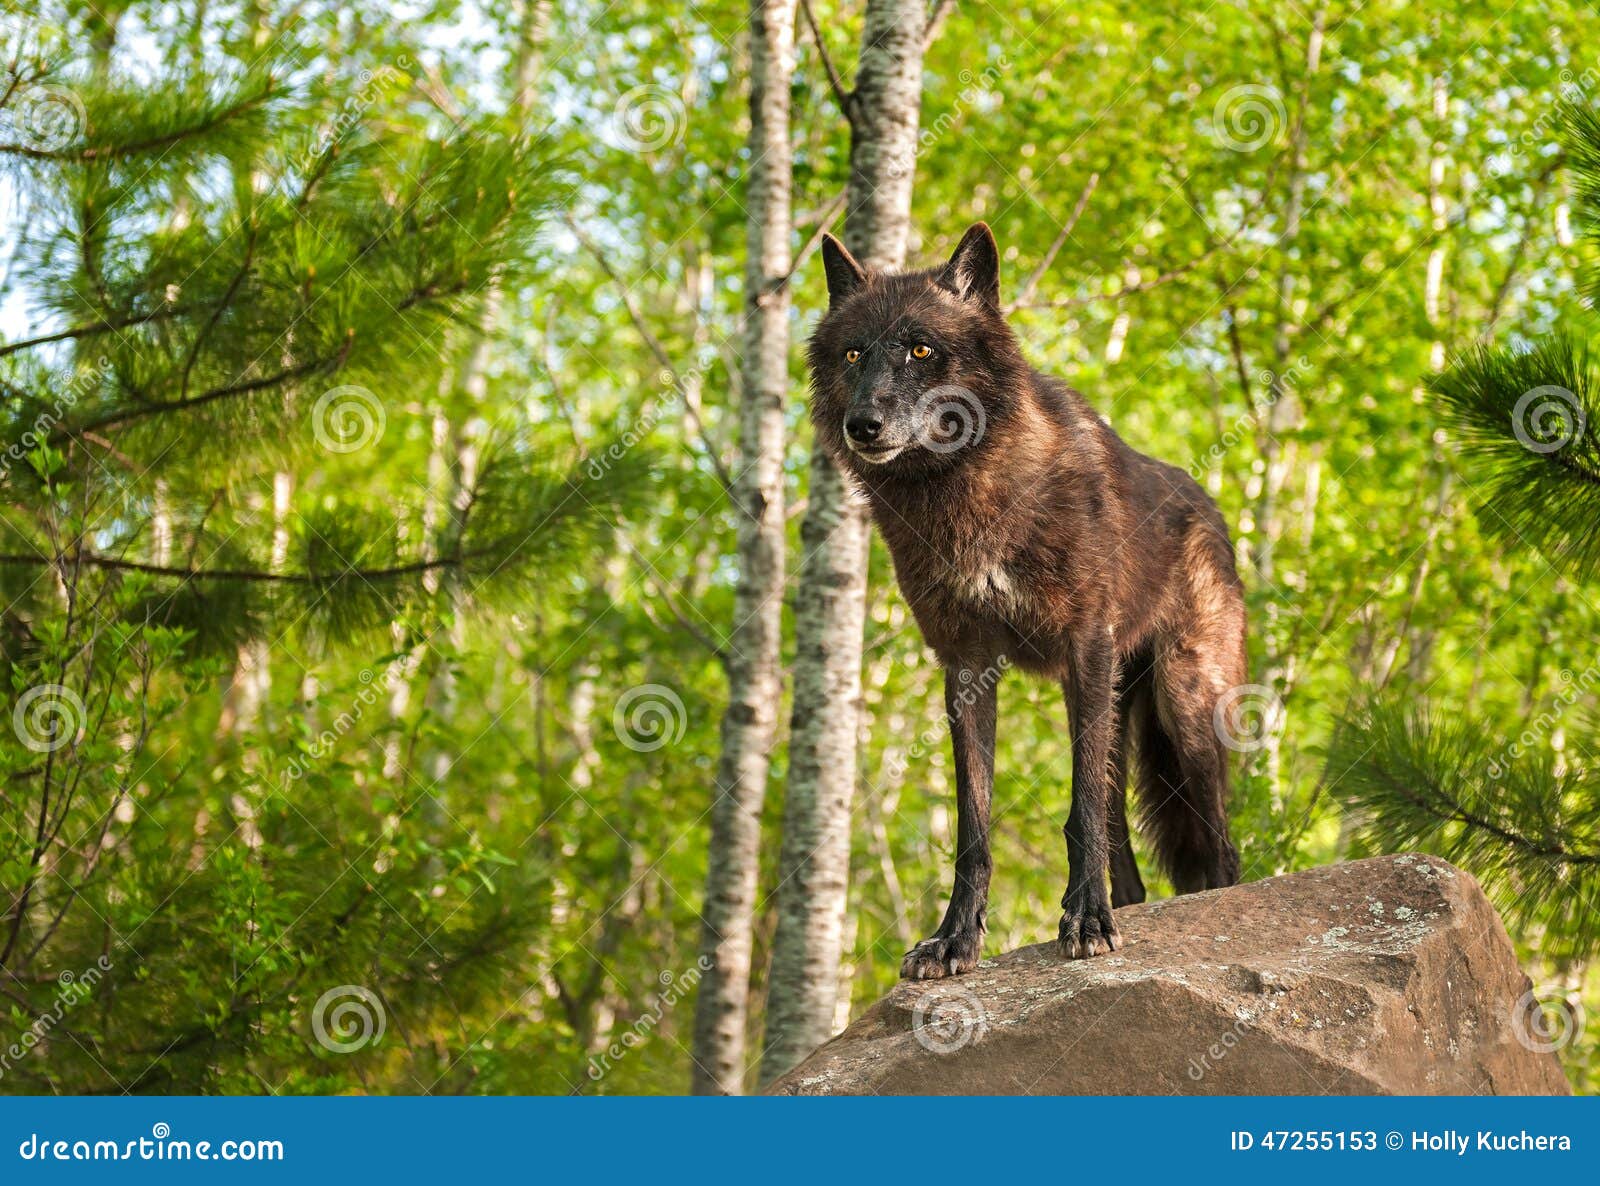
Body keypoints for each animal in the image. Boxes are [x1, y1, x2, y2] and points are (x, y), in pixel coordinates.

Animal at [809, 223, 1245, 978]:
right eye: (854, 354)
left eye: (921, 349)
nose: (862, 425)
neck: (969, 490)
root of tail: (1209, 508)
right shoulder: (965, 665)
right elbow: (974, 827)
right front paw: (955, 938)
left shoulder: (1085, 647)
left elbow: (1077, 809)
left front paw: (1087, 921)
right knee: (1125, 849)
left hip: (1185, 710)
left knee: (1218, 851)